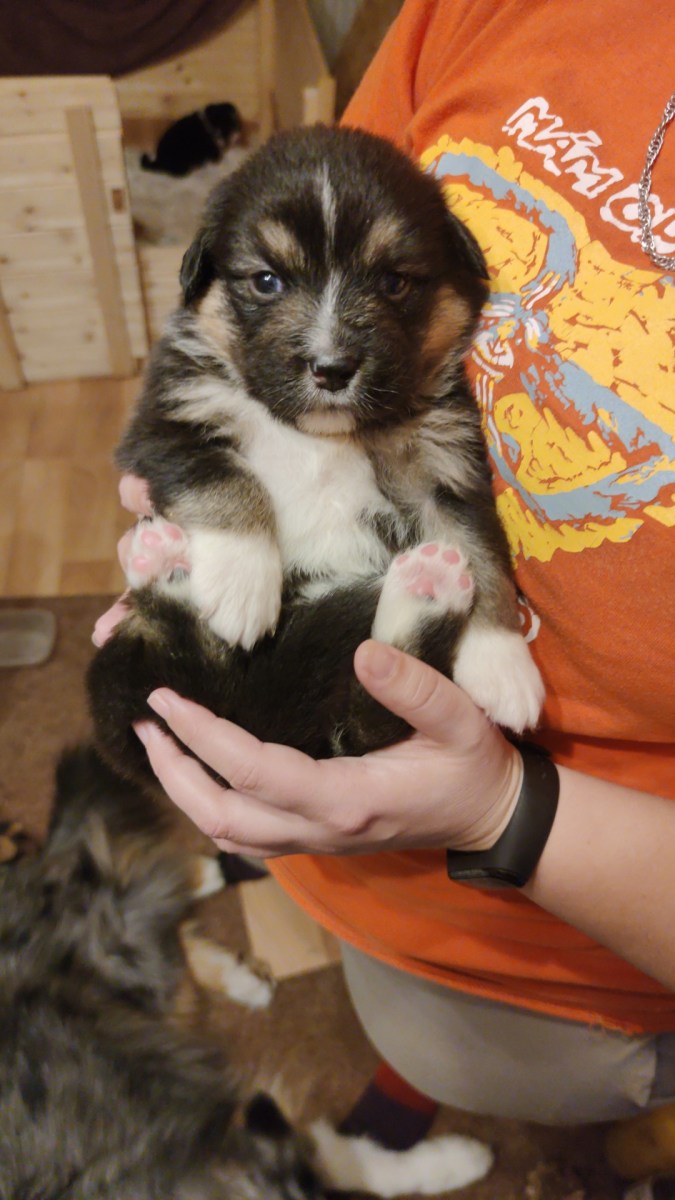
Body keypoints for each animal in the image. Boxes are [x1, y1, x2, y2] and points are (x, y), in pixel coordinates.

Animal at [0, 744, 493, 1198]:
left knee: (155, 905)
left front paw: (459, 1159)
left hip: (123, 957)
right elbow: (361, 1164)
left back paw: (216, 891)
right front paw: (459, 1160)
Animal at [88, 124, 543, 788]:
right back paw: (164, 561)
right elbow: (225, 479)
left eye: (394, 282)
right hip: (134, 703)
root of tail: (268, 721)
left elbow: (482, 552)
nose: (331, 368)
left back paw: (428, 585)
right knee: (178, 663)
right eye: (266, 281)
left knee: (365, 707)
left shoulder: (446, 466)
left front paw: (504, 667)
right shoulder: (171, 418)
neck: (321, 434)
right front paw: (242, 585)